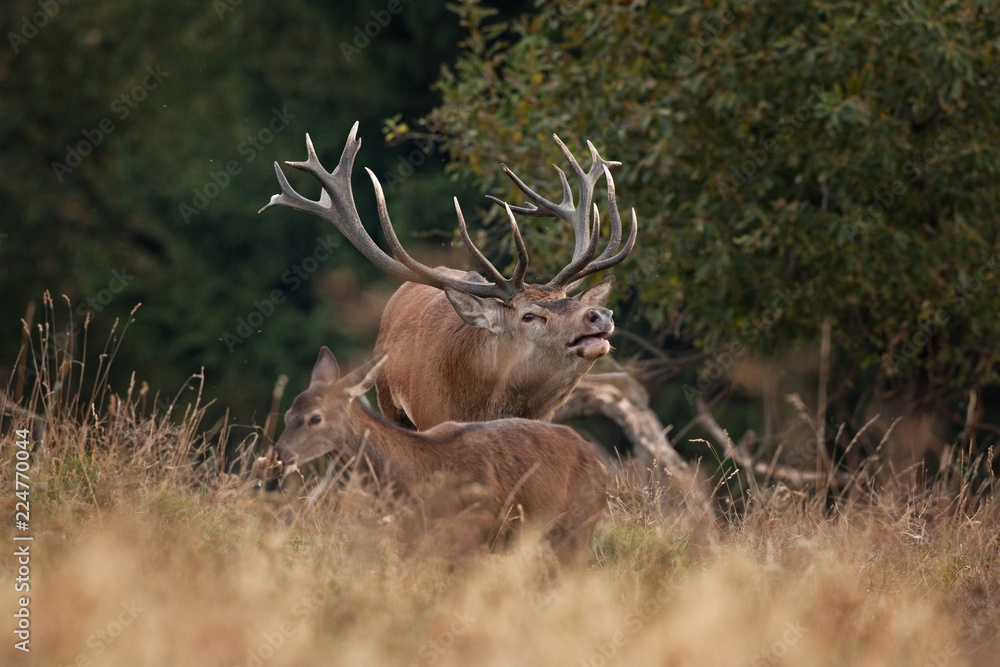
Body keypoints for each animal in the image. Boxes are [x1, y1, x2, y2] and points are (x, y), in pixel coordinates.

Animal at [267, 346, 608, 565]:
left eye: (315, 418)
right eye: (287, 415)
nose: (277, 458)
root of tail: (599, 464)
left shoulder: (473, 534)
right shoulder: (409, 539)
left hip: (579, 526)